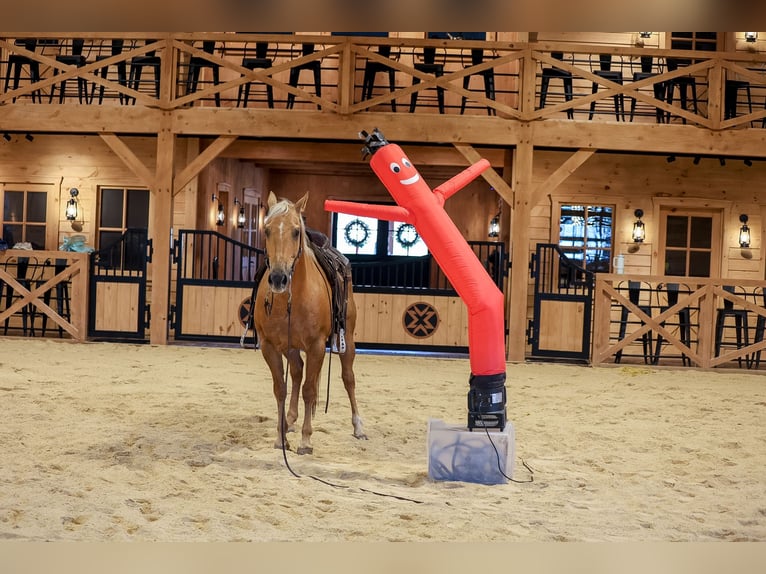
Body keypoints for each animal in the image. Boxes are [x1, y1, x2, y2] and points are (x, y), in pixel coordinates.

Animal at [253, 191, 367, 454]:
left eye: (296, 231)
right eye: (267, 230)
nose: (278, 278)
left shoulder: (316, 346)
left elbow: (309, 390)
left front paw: (306, 440)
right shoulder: (269, 347)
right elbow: (281, 389)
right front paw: (281, 437)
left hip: (347, 340)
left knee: (348, 378)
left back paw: (358, 426)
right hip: (290, 347)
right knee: (296, 372)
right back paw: (290, 420)